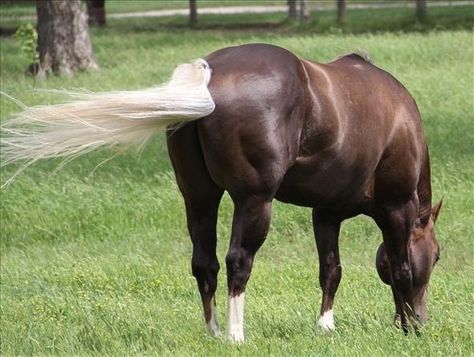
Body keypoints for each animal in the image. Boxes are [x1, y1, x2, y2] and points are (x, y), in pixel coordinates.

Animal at [1, 43, 442, 340]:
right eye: (437, 256)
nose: (423, 320)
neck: (399, 121)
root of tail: (209, 73)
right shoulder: (397, 210)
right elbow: (400, 268)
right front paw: (406, 328)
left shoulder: (326, 213)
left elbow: (331, 270)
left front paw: (326, 326)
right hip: (253, 201)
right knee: (237, 261)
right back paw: (235, 334)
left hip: (199, 197)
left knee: (204, 262)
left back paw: (212, 331)